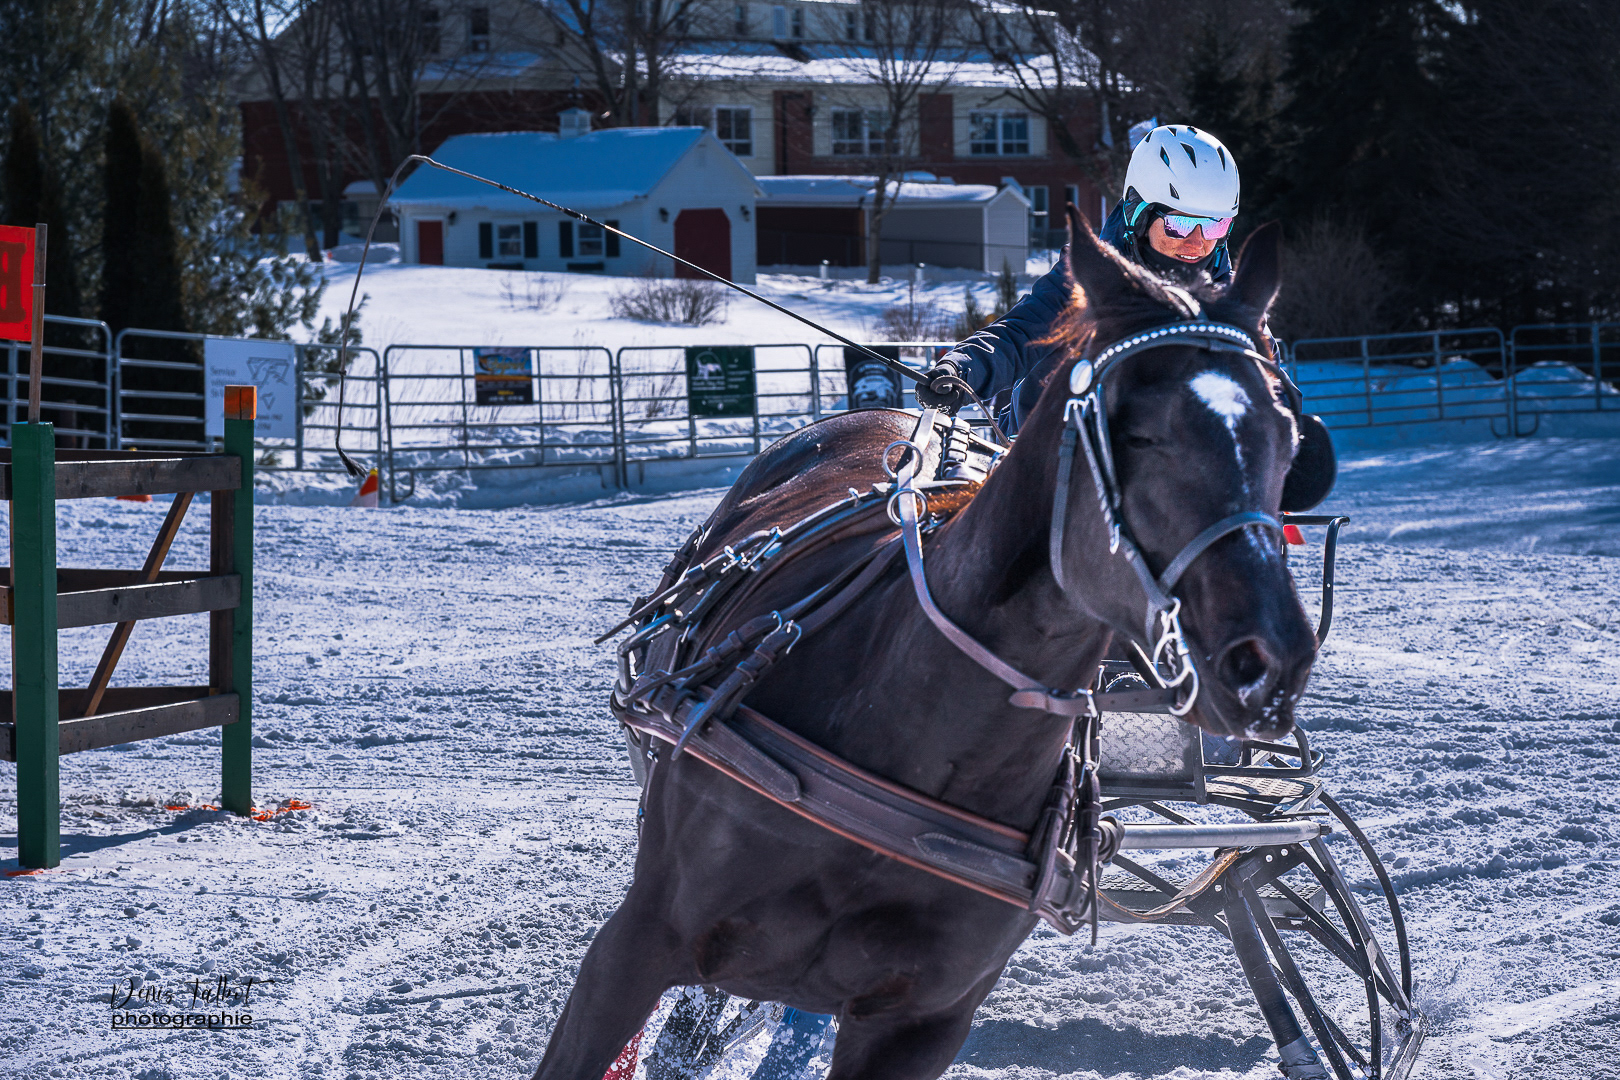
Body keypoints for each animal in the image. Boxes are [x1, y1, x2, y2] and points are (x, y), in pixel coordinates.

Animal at [529, 210, 1318, 1080]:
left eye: (1289, 435)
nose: (1270, 660)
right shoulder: (636, 947)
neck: (925, 731)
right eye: (1137, 433)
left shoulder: (923, 1023)